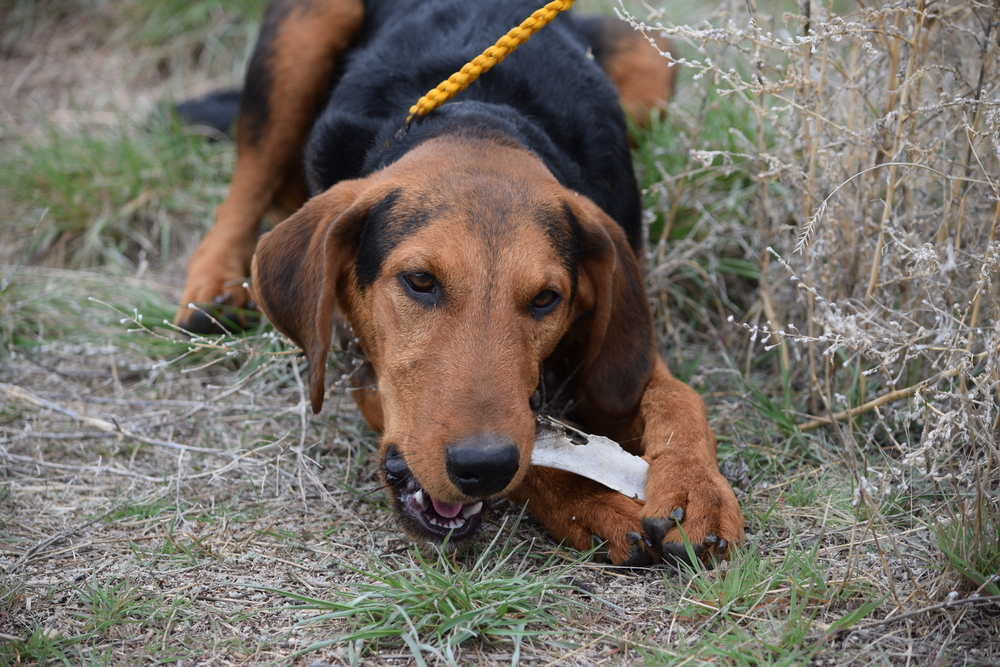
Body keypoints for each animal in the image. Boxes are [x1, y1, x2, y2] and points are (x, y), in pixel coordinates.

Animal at [176, 0, 748, 568]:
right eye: (419, 281)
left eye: (547, 299)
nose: (484, 465)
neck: (480, 115)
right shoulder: (366, 368)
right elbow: (533, 456)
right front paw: (591, 501)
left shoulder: (618, 361)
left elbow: (676, 398)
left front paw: (697, 488)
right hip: (308, 24)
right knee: (248, 182)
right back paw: (211, 288)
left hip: (651, 62)